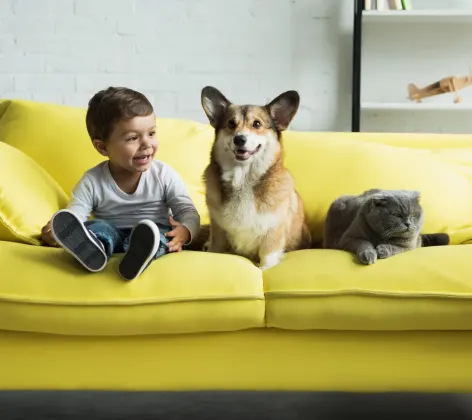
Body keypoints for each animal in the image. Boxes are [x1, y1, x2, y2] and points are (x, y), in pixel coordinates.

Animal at [201, 85, 312, 270]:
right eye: (231, 123)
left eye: (257, 124)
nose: (239, 139)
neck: (243, 178)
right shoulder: (218, 231)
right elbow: (215, 249)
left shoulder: (273, 232)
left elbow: (267, 258)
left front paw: (264, 270)